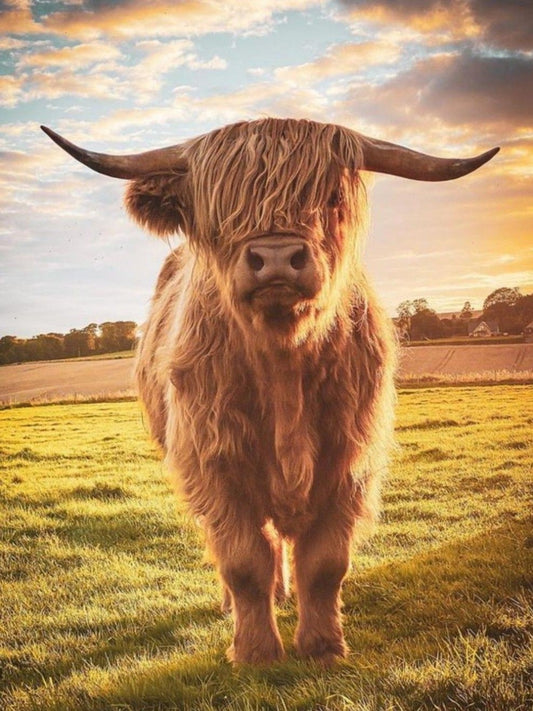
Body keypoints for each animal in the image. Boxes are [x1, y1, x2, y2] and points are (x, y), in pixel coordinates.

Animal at [41, 119, 498, 665]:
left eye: (330, 196)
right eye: (220, 204)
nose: (277, 257)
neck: (283, 373)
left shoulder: (349, 465)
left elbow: (325, 563)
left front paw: (323, 646)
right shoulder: (215, 466)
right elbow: (243, 562)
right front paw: (256, 651)